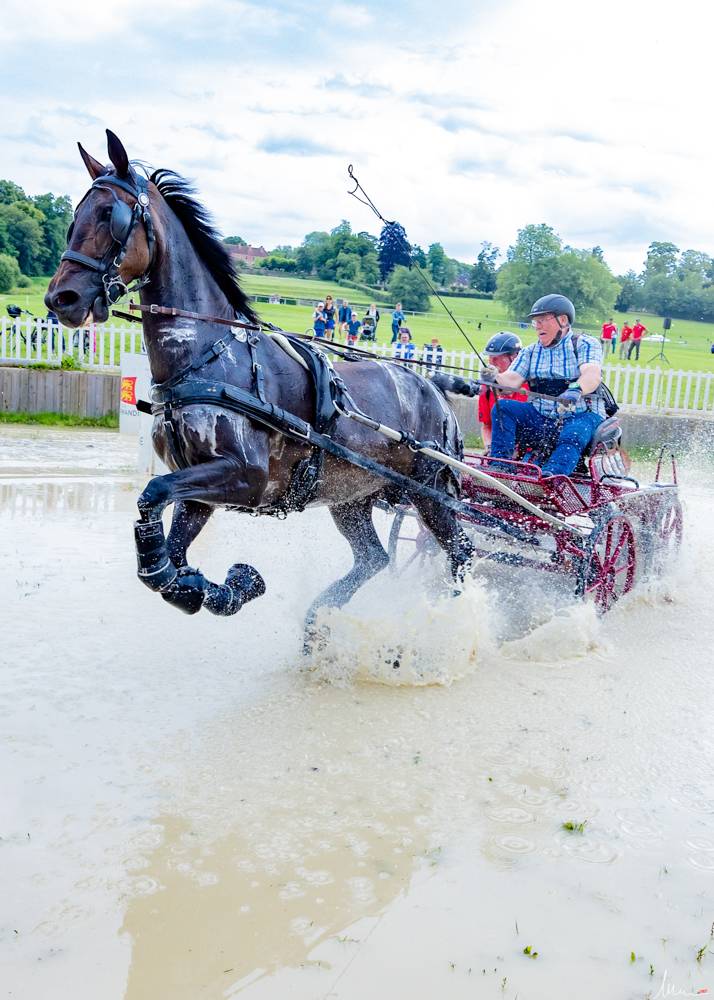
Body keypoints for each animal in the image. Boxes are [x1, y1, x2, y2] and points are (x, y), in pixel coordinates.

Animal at [45, 130, 473, 647]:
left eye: (111, 215)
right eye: (75, 215)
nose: (61, 298)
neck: (207, 354)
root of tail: (435, 391)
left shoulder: (245, 477)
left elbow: (151, 495)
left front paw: (216, 584)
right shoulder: (197, 486)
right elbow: (170, 557)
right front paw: (220, 587)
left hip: (430, 494)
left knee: (460, 553)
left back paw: (445, 625)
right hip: (352, 497)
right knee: (375, 558)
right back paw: (319, 619)